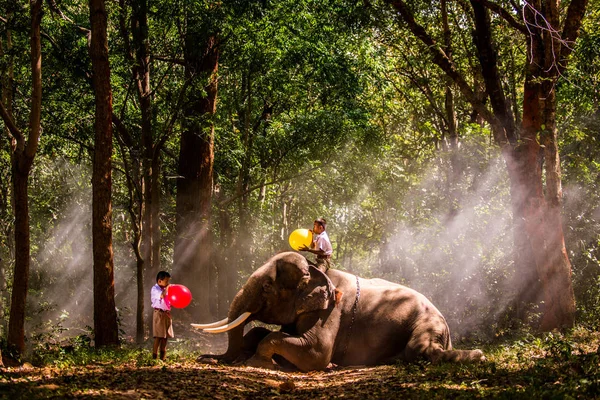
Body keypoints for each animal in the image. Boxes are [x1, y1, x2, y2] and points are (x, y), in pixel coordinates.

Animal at [192, 250, 482, 372]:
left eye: (266, 287)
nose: (204, 358)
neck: (317, 271)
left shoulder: (330, 311)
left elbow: (317, 353)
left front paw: (257, 363)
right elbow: (265, 332)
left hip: (427, 324)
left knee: (420, 350)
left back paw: (477, 355)